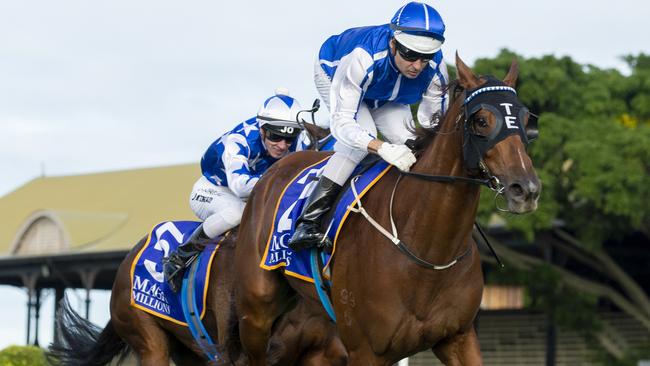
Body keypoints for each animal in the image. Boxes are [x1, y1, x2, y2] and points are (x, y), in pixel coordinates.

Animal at [235, 54, 540, 366]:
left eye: (525, 120)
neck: (428, 251)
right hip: (255, 313)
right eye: (481, 120)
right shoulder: (365, 350)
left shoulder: (458, 338)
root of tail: (277, 168)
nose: (525, 189)